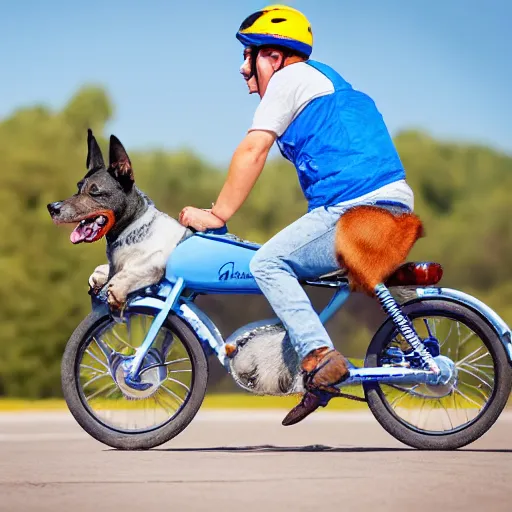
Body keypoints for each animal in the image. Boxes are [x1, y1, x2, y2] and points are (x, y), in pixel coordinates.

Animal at [47, 130, 187, 310]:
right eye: (78, 187)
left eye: (94, 191)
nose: (52, 207)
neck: (131, 229)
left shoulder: (158, 261)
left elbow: (138, 270)